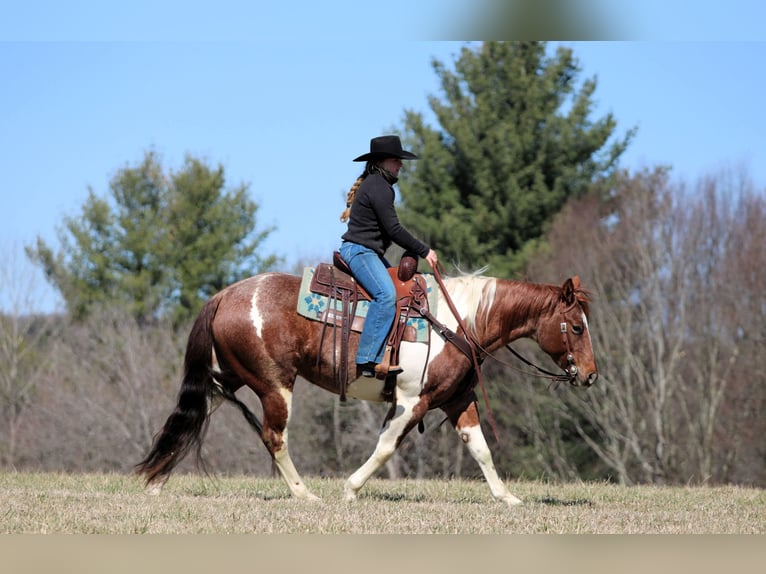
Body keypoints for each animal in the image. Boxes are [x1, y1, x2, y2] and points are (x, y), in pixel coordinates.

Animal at [135, 268, 598, 507]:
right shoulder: (413, 400)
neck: (460, 320)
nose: (591, 375)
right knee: (274, 437)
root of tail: (223, 295)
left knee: (193, 415)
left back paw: (157, 480)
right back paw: (306, 495)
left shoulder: (457, 399)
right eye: (576, 327)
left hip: (226, 378)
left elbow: (480, 448)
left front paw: (508, 498)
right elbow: (388, 446)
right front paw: (351, 489)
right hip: (274, 385)